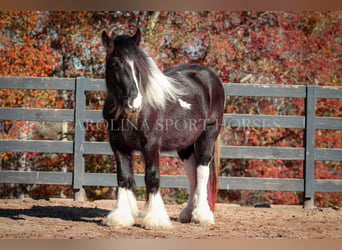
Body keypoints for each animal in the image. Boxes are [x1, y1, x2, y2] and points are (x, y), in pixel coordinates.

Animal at [101, 28, 224, 229]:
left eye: (139, 66)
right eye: (115, 64)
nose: (134, 102)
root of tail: (211, 77)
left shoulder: (151, 146)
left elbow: (152, 177)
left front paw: (156, 219)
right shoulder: (118, 146)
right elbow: (123, 178)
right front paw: (120, 216)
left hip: (209, 135)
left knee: (202, 171)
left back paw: (202, 215)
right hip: (185, 145)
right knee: (192, 173)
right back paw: (188, 213)